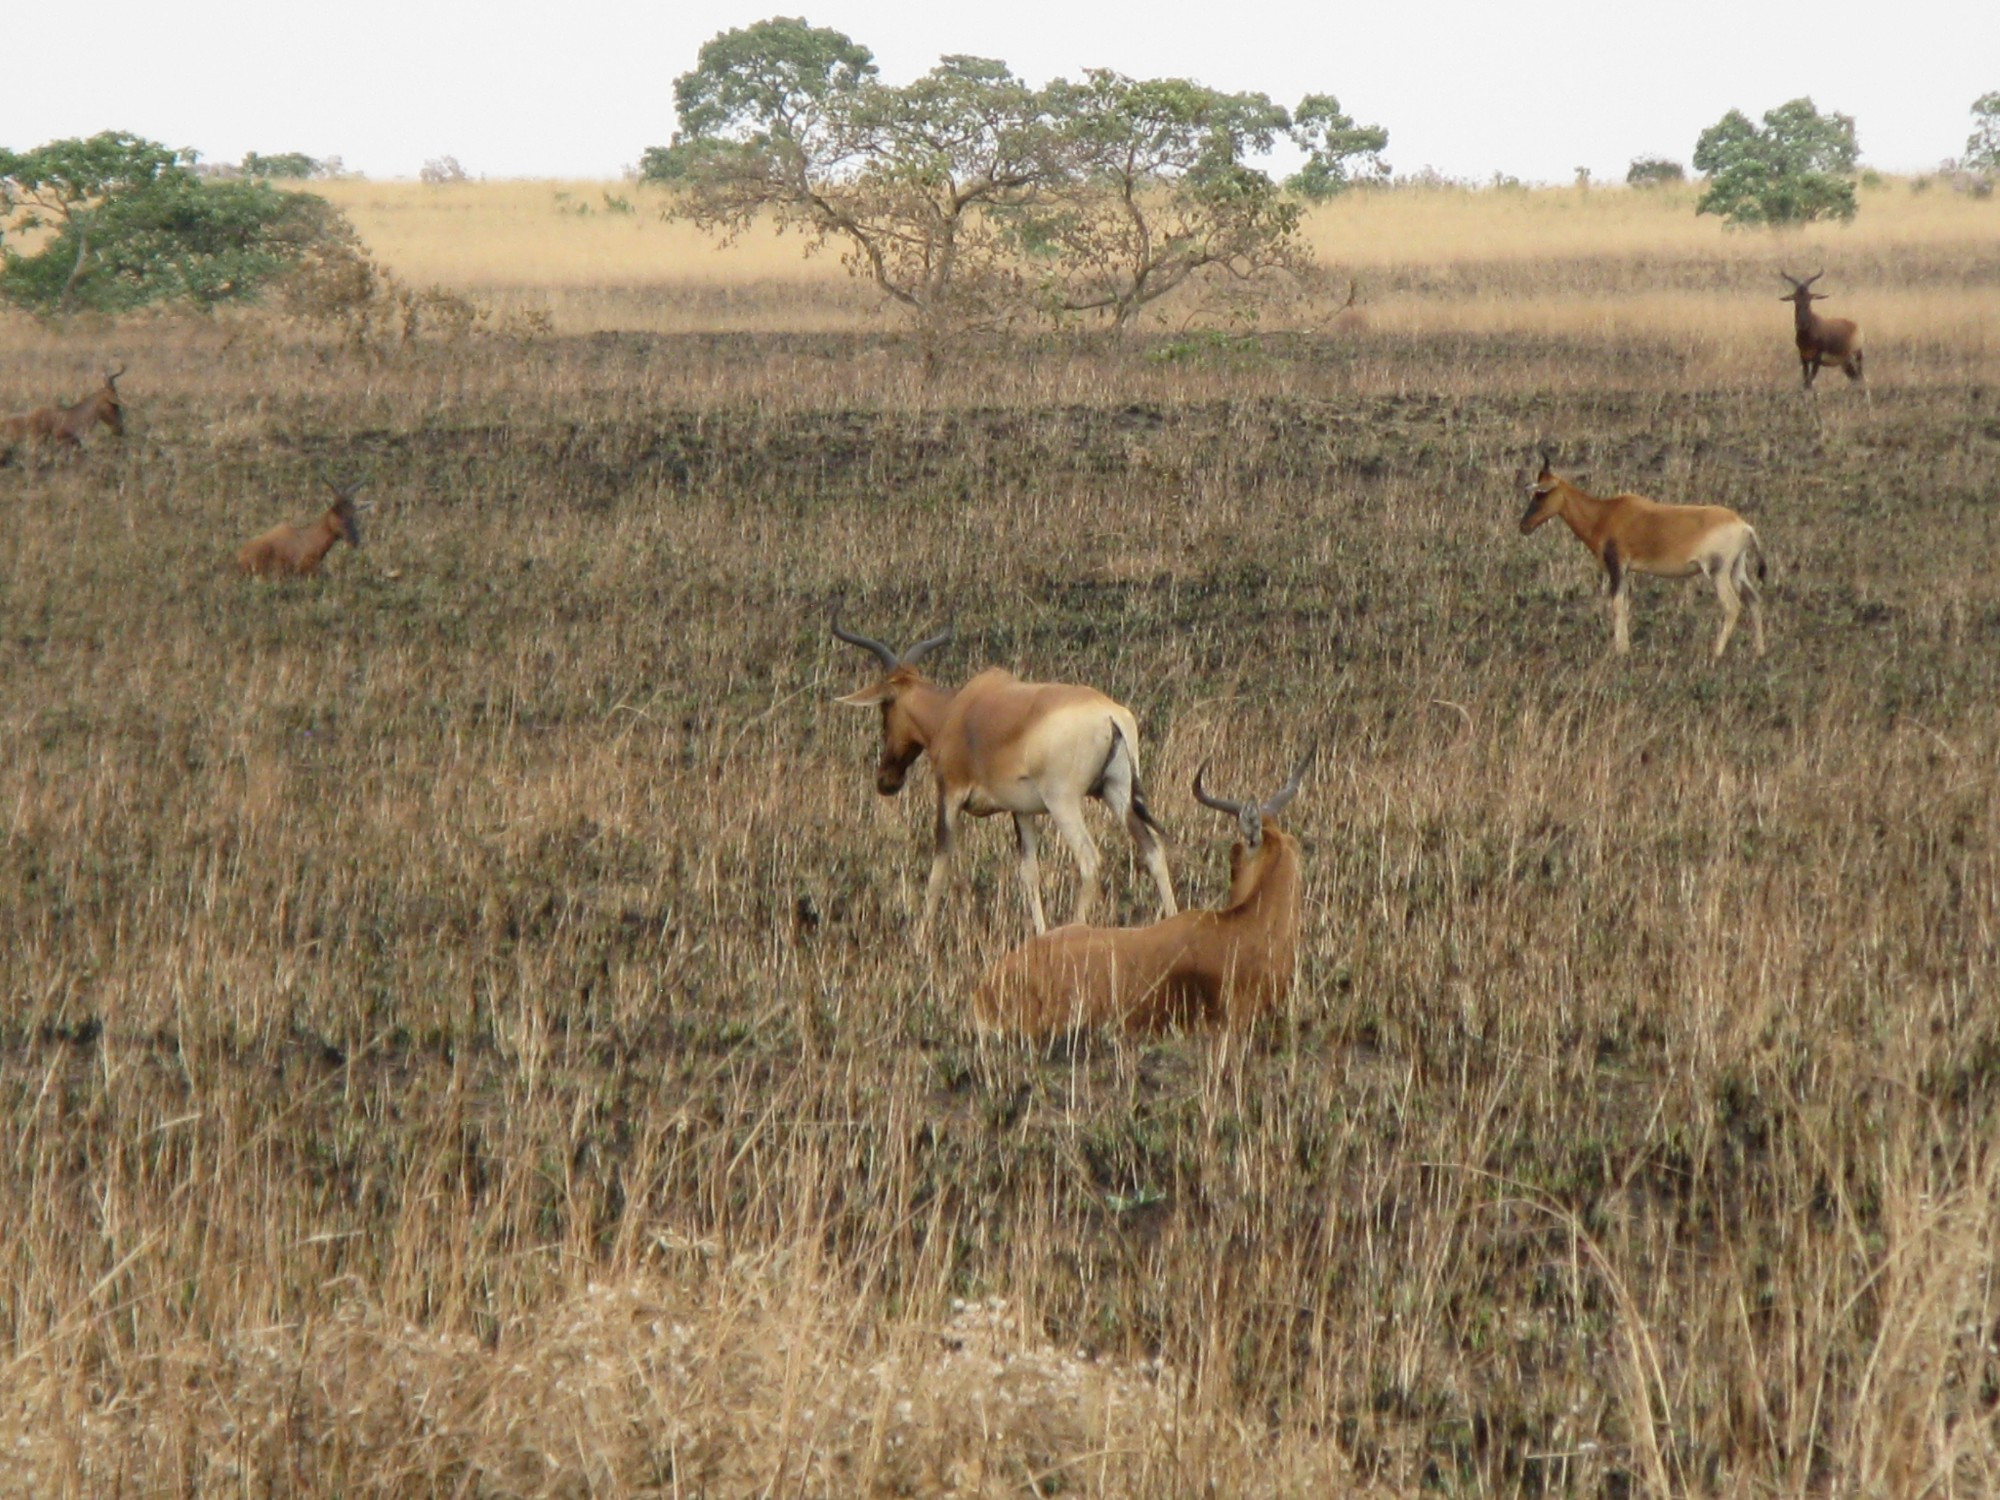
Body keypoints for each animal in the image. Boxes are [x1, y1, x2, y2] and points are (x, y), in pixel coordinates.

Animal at [836, 612, 1176, 940]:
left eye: (885, 708)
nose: (886, 780)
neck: (957, 709)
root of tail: (1109, 714)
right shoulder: (1022, 810)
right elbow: (1029, 872)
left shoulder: (950, 795)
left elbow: (940, 866)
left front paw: (919, 942)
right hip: (1116, 793)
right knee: (1154, 851)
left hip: (1064, 802)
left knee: (1089, 861)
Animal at [1512, 446, 1768, 656]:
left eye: (1541, 493)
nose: (1524, 526)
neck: (1606, 512)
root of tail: (1744, 526)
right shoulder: (1626, 570)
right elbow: (1624, 604)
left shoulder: (1617, 566)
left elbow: (1616, 604)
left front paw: (1621, 651)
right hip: (1736, 568)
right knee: (1754, 599)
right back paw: (1759, 652)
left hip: (1718, 571)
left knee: (1732, 606)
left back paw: (1716, 653)